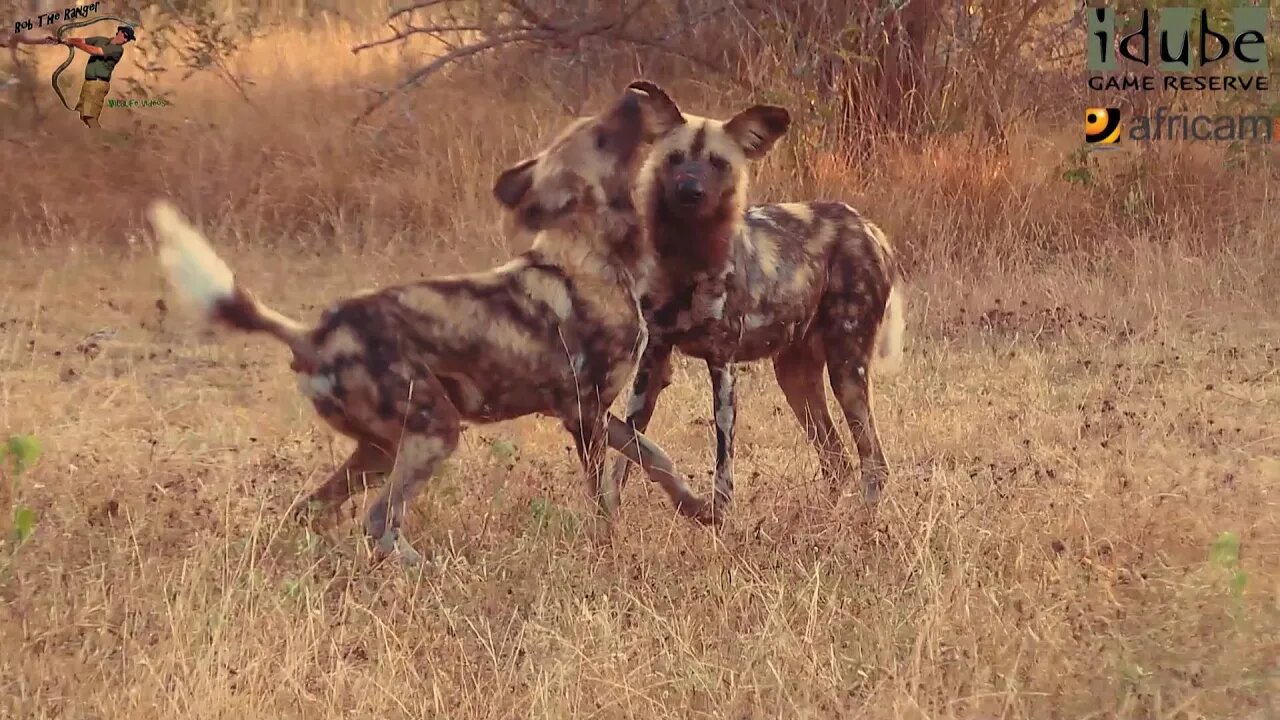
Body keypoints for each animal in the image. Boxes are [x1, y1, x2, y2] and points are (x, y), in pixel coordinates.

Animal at [147, 85, 721, 566]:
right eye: (601, 137)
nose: (632, 94)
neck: (596, 253)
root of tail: (311, 335)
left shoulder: (595, 412)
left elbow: (654, 455)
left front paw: (698, 507)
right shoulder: (583, 414)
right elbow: (605, 498)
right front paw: (610, 549)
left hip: (381, 450)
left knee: (313, 510)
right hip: (434, 431)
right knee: (379, 519)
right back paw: (428, 570)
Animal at [611, 79, 906, 515]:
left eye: (718, 163)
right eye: (675, 158)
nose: (690, 191)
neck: (687, 255)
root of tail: (869, 227)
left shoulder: (722, 363)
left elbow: (723, 466)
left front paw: (717, 519)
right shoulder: (654, 360)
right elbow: (628, 451)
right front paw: (605, 517)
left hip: (847, 370)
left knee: (874, 462)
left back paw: (861, 521)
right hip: (796, 377)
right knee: (836, 460)